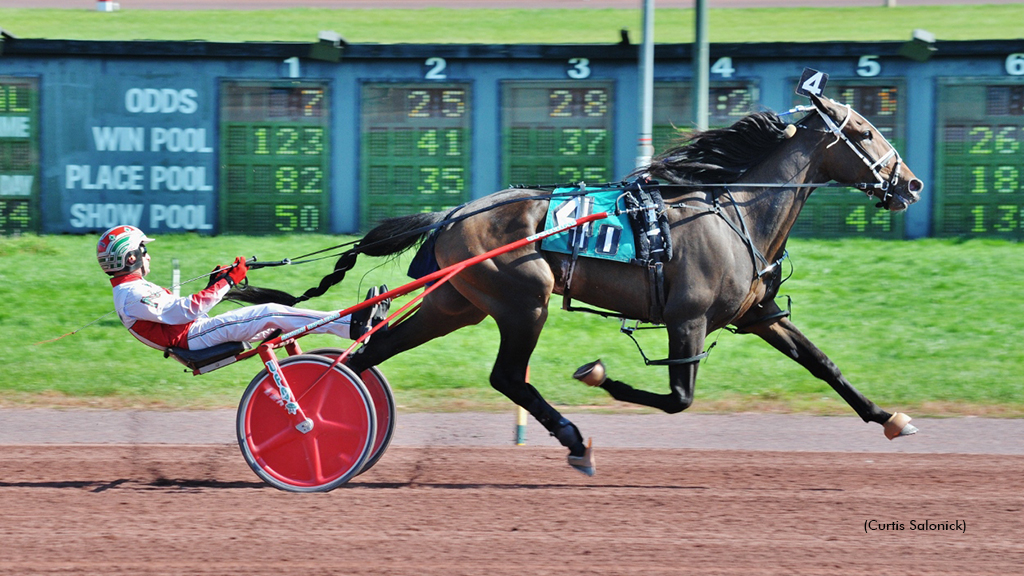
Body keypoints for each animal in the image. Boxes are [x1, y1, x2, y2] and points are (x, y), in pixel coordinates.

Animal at [237, 91, 921, 473]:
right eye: (863, 132)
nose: (910, 183)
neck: (734, 212)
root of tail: (451, 214)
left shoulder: (758, 315)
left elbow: (824, 364)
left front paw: (888, 417)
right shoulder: (688, 318)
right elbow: (677, 398)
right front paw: (597, 377)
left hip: (455, 303)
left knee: (368, 355)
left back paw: (322, 420)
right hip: (522, 299)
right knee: (506, 376)